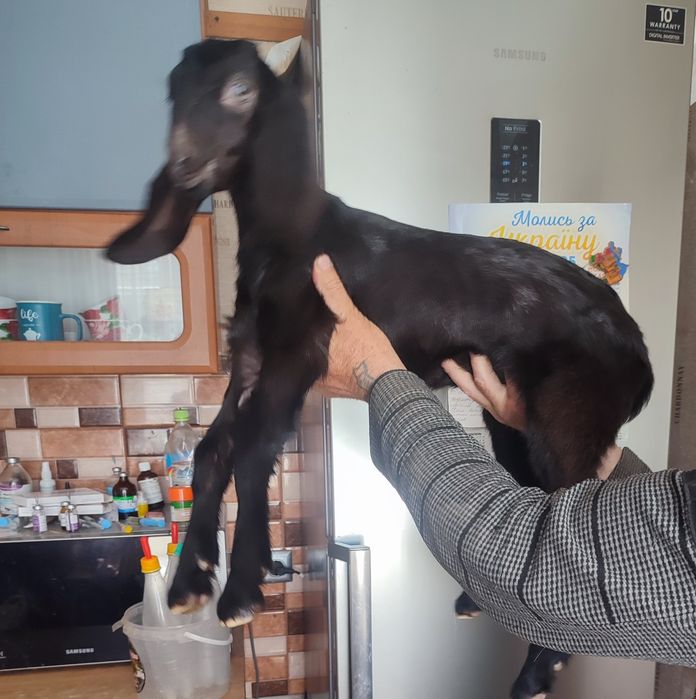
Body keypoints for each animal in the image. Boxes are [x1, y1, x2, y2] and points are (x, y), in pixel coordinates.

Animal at [106, 39, 653, 699]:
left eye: (240, 89)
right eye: (173, 91)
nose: (184, 165)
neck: (289, 240)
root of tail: (638, 352)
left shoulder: (299, 351)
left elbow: (255, 450)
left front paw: (239, 592)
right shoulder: (253, 356)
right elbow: (215, 449)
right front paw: (191, 582)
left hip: (569, 411)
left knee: (568, 518)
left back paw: (537, 672)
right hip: (510, 413)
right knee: (528, 503)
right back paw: (478, 603)